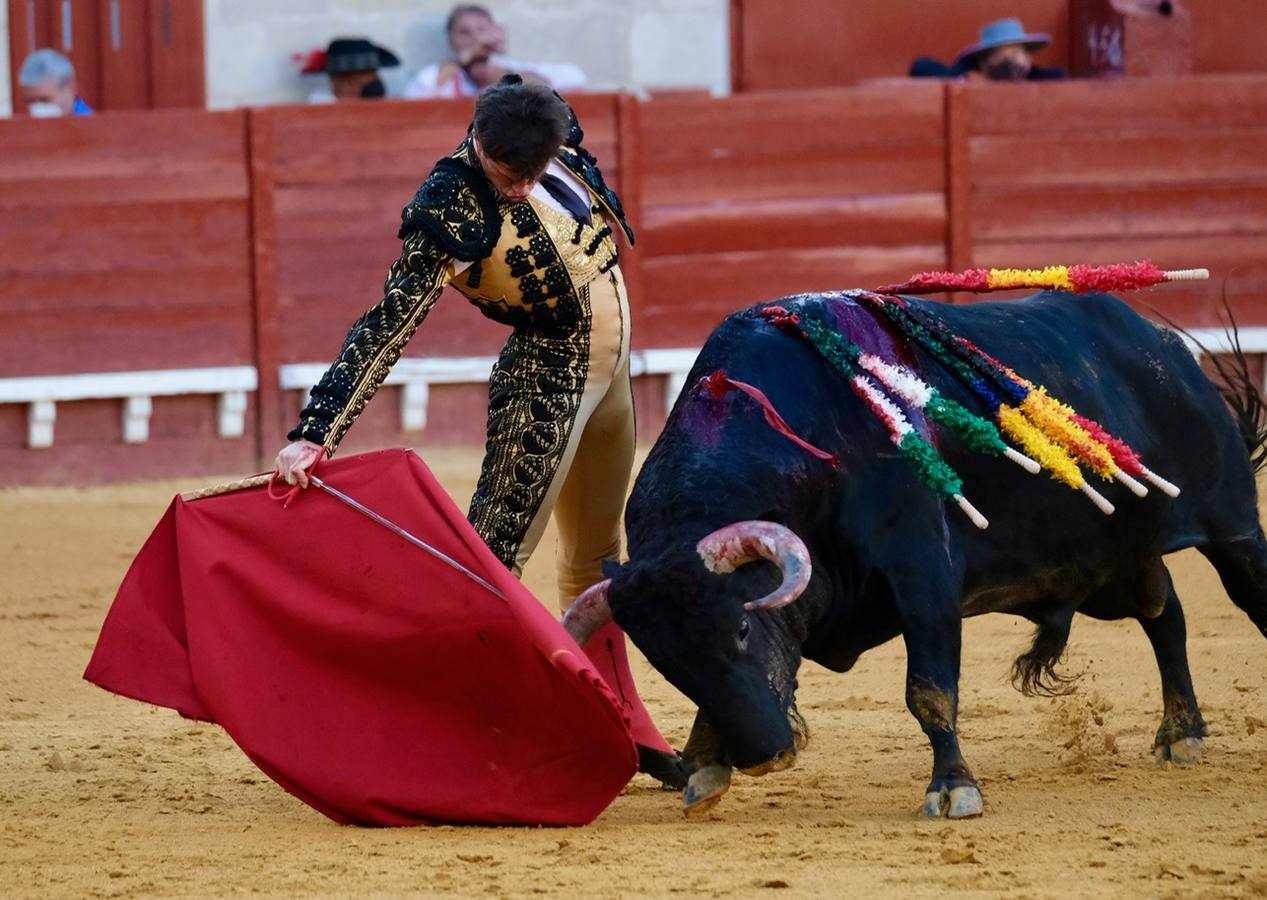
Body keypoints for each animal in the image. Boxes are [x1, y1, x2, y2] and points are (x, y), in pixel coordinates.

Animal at [565, 292, 1267, 821]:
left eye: (740, 626)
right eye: (667, 662)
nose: (767, 754)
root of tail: (1165, 348)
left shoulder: (923, 574)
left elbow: (929, 689)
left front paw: (953, 788)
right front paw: (706, 769)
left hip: (1231, 526)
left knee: (1239, 595)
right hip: (1106, 570)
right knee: (1165, 613)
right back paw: (1182, 734)